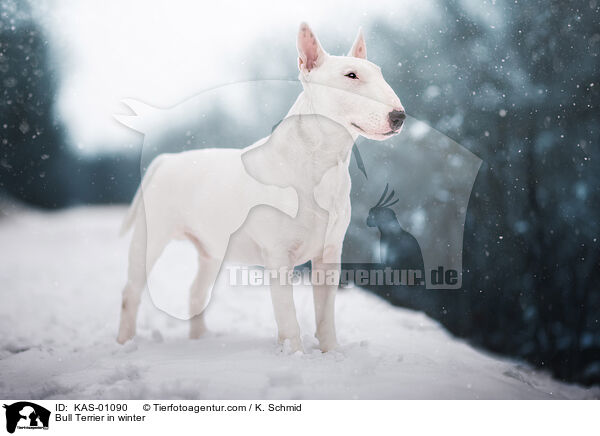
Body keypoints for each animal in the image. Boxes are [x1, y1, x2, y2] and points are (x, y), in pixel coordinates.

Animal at [116, 23, 404, 350]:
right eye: (351, 75)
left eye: (380, 73)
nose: (400, 116)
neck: (322, 162)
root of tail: (166, 160)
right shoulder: (278, 257)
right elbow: (288, 316)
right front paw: (294, 353)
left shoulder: (330, 255)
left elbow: (325, 314)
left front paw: (331, 352)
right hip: (151, 237)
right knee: (131, 291)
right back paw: (125, 343)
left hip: (211, 250)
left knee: (195, 292)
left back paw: (200, 339)